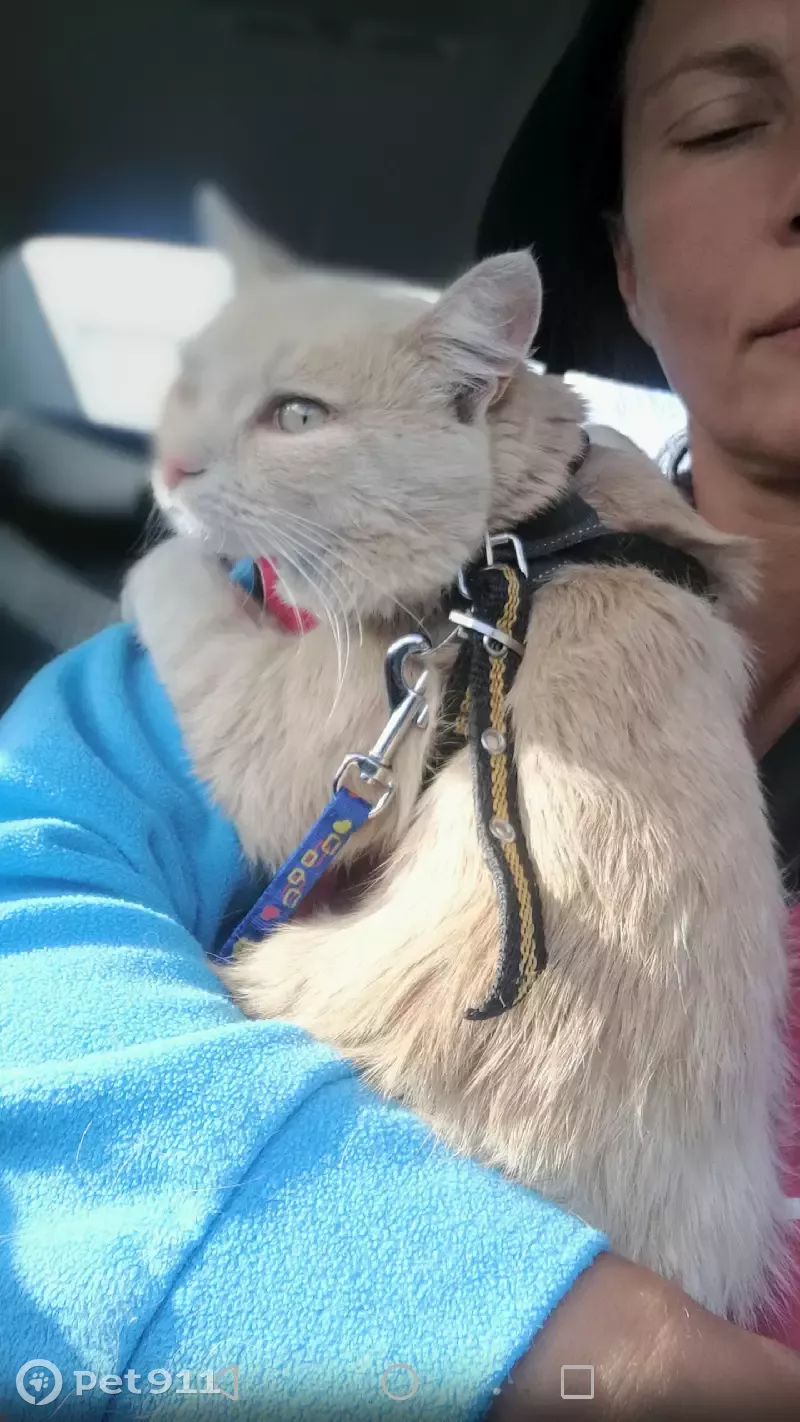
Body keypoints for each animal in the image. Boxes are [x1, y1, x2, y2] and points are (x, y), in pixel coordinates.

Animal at [124, 192, 790, 1325]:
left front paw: (159, 566)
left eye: (297, 417)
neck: (526, 530)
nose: (169, 467)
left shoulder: (310, 726)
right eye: (187, 381)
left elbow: (183, 606)